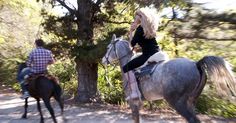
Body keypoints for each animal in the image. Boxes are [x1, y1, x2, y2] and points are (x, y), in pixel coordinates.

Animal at [102, 34, 236, 123]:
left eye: (108, 47)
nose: (103, 60)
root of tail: (196, 64)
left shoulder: (133, 103)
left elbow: (136, 119)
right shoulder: (138, 103)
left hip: (177, 102)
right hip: (190, 102)